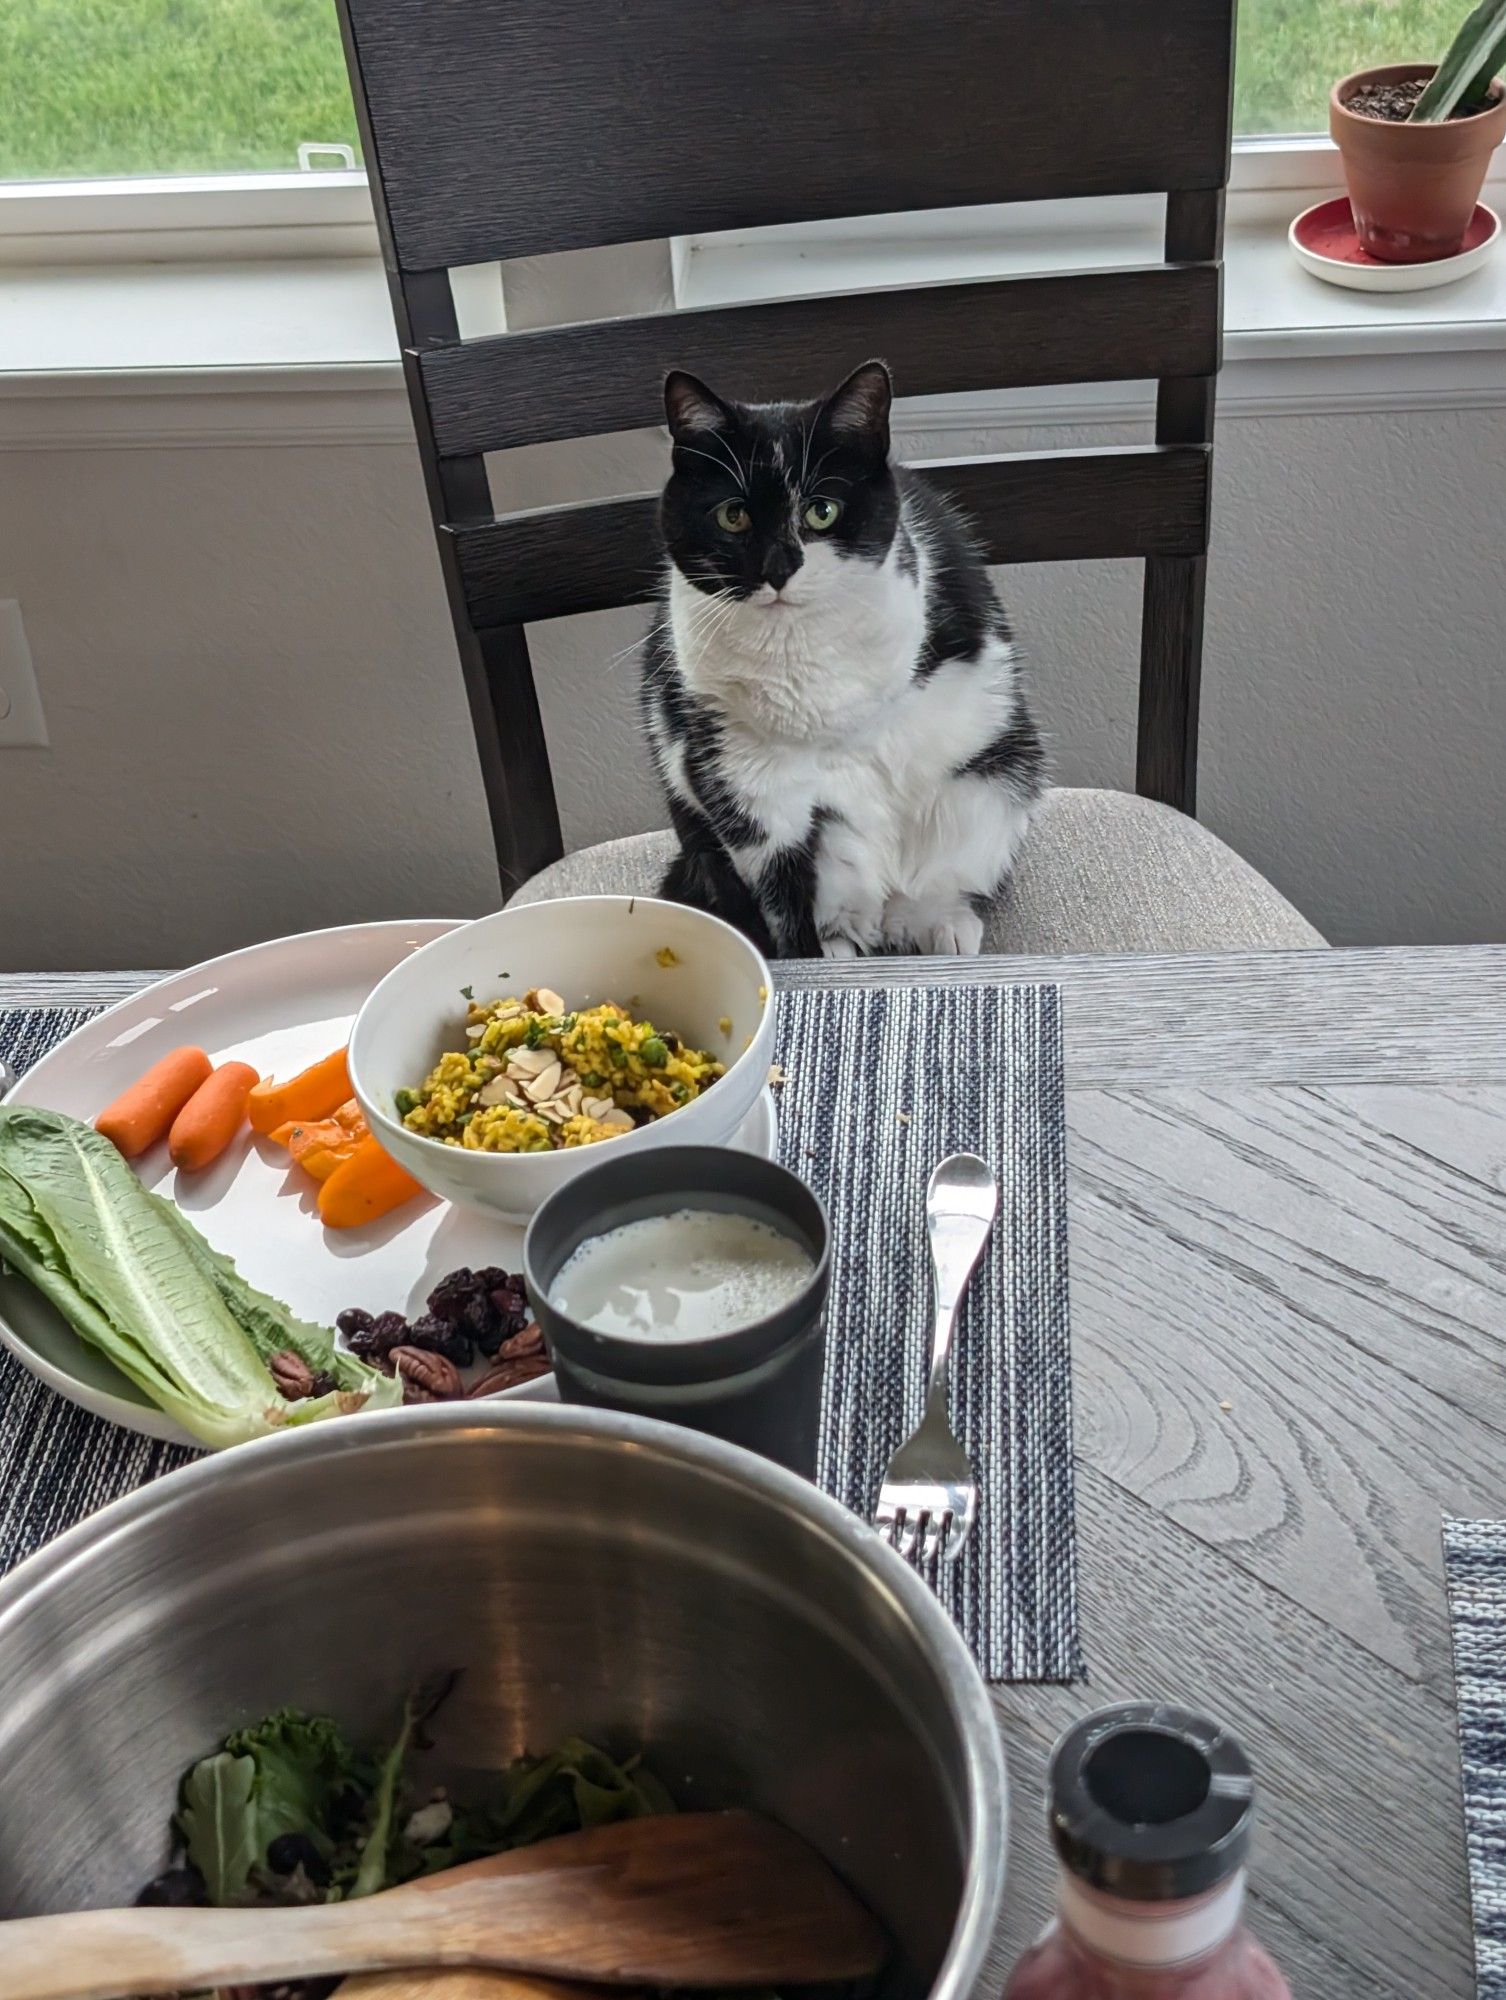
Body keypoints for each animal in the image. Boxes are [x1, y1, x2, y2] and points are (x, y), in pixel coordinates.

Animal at [636, 362, 1048, 960]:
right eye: (733, 516)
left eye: (822, 511)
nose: (779, 568)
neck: (792, 653)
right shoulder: (741, 772)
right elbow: (783, 900)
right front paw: (809, 957)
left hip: (990, 786)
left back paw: (941, 924)